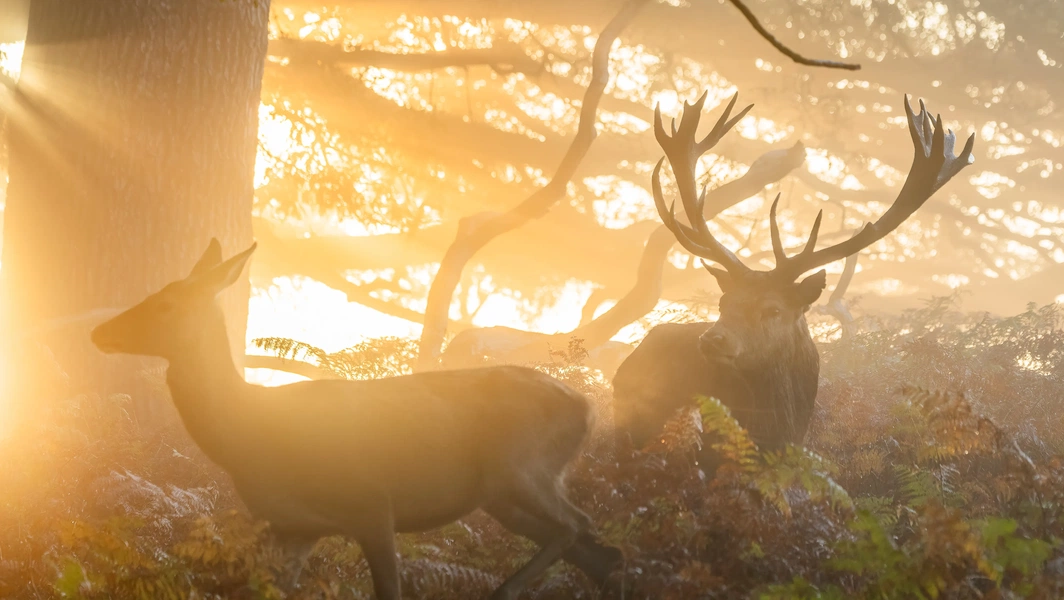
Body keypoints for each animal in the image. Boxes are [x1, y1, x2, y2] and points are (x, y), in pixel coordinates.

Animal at [90, 240, 623, 600]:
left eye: (165, 303)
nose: (100, 332)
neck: (254, 431)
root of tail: (588, 408)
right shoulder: (292, 525)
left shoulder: (371, 503)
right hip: (499, 496)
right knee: (604, 554)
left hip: (522, 466)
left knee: (578, 524)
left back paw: (505, 590)